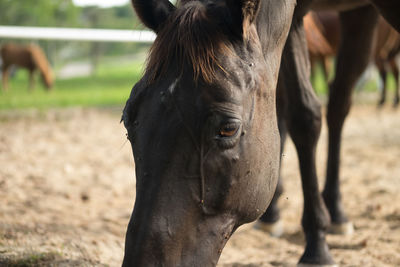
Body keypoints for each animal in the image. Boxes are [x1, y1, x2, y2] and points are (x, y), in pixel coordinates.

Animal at [122, 0, 400, 267]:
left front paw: (317, 248)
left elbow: (307, 118)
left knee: (338, 105)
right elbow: (299, 115)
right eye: (127, 120)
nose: (143, 261)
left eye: (228, 129)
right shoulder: (292, 23)